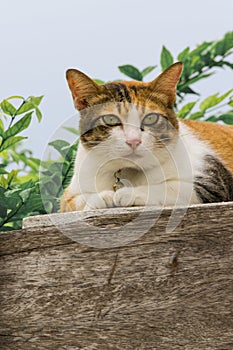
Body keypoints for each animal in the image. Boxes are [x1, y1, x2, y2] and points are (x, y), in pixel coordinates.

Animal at [59, 61, 233, 212]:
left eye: (151, 118)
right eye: (110, 119)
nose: (133, 140)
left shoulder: (213, 184)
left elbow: (169, 187)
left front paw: (126, 193)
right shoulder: (69, 195)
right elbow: (74, 201)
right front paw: (101, 197)